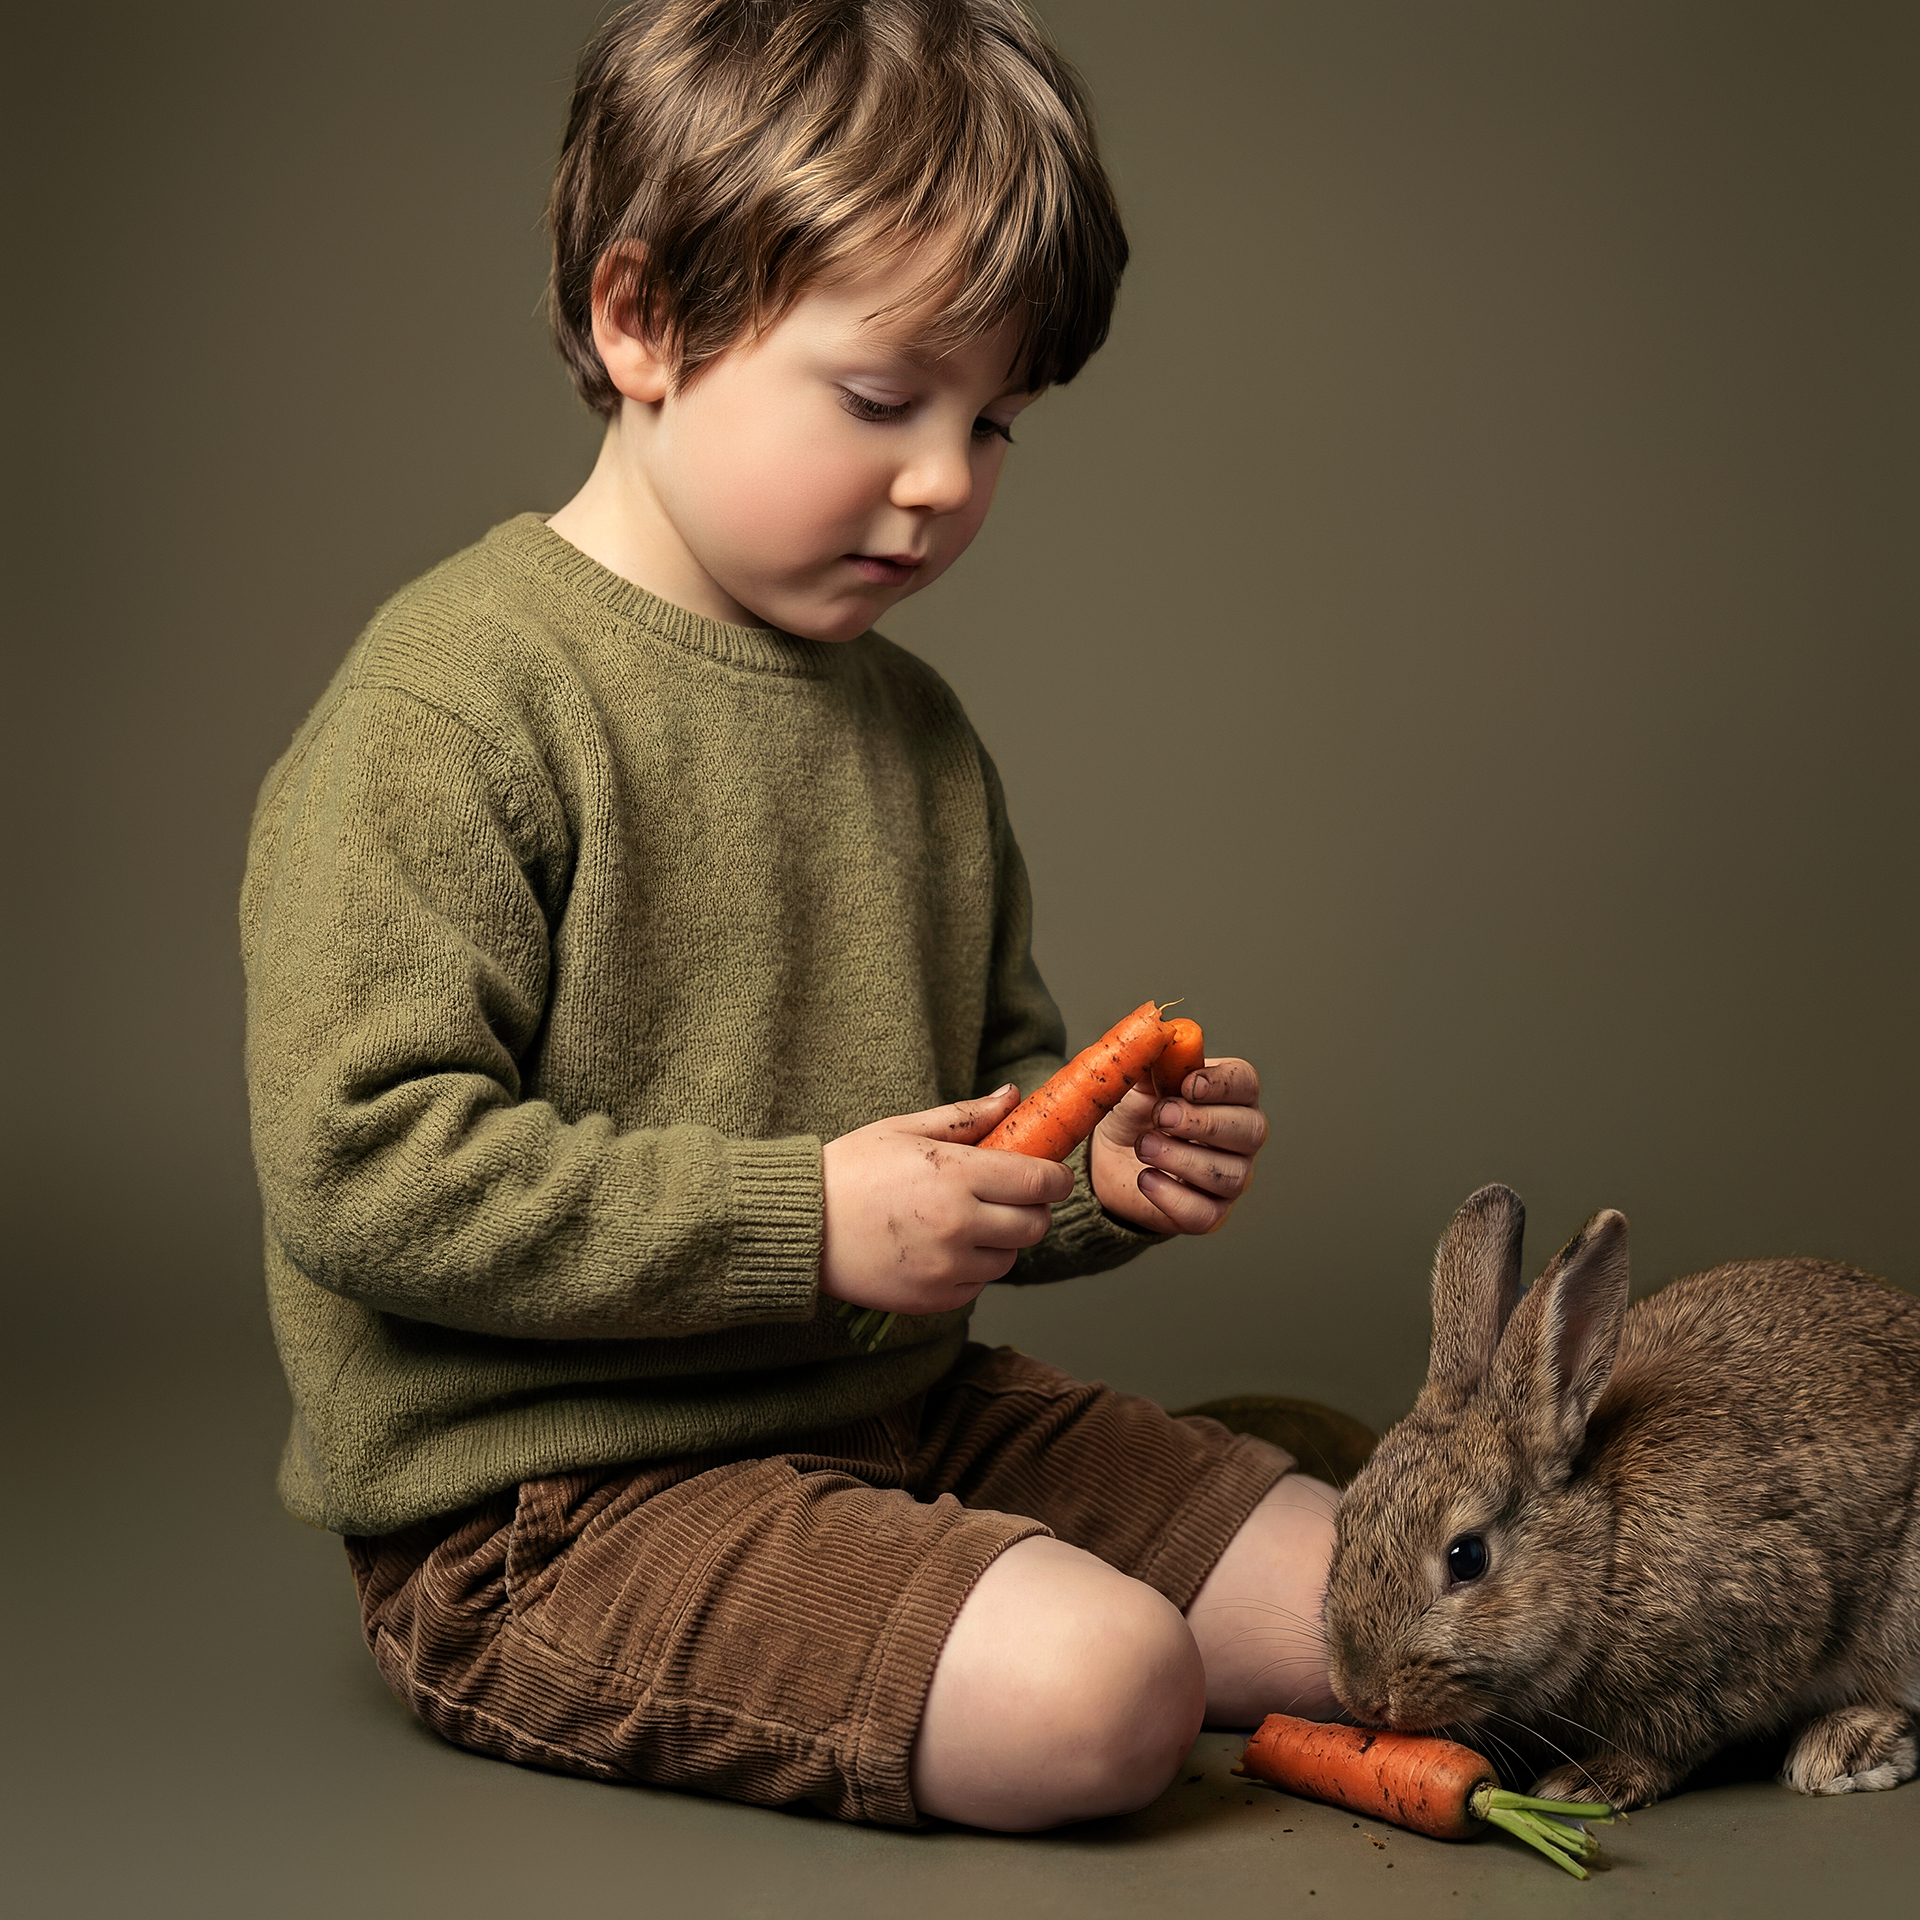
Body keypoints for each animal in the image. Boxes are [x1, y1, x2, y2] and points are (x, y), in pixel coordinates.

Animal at [1321, 1183, 1920, 1811]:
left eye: (1467, 1558)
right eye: (1344, 1523)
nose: (1363, 1697)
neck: (1603, 1550)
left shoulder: (1753, 1626)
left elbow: (1670, 1743)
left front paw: (1586, 1783)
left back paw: (1841, 1751)